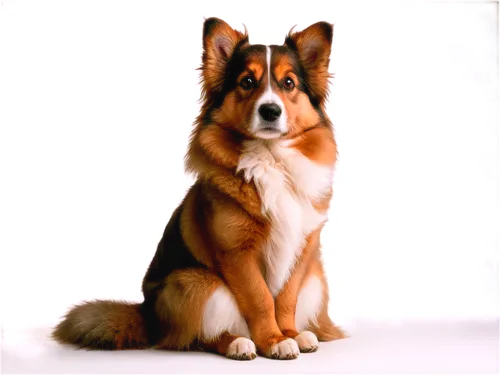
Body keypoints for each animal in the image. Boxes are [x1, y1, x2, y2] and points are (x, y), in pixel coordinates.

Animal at [51, 16, 348, 362]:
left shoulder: (303, 248)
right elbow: (261, 299)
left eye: (289, 83)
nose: (270, 111)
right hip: (195, 282)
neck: (270, 157)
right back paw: (237, 343)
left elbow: (286, 299)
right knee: (193, 338)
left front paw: (288, 334)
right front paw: (274, 341)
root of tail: (147, 315)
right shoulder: (236, 253)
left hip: (316, 280)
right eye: (247, 81)